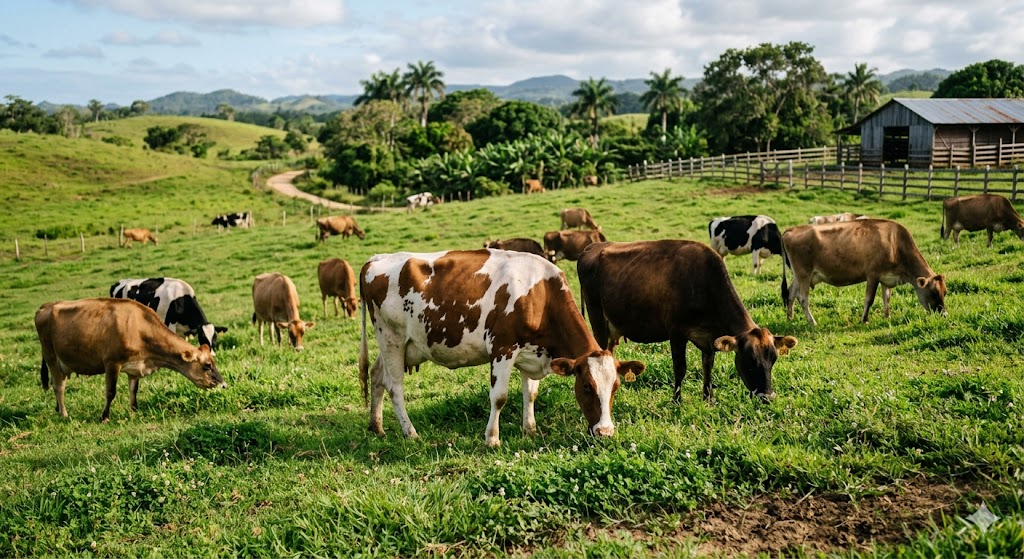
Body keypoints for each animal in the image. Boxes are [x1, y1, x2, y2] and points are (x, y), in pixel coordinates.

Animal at [34, 298, 225, 421]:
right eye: (207, 365)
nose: (224, 384)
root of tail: (46, 306)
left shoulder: (135, 367)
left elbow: (134, 391)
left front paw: (134, 411)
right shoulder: (112, 363)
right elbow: (110, 392)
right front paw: (105, 417)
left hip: (63, 363)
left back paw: (58, 409)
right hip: (51, 357)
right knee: (58, 386)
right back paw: (64, 414)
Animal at [358, 249, 645, 447]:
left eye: (616, 387)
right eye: (586, 386)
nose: (605, 432)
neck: (540, 295)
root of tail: (377, 258)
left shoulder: (533, 352)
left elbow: (531, 394)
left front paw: (530, 430)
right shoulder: (502, 348)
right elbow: (499, 397)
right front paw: (492, 439)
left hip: (397, 343)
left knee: (376, 375)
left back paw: (376, 427)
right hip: (391, 338)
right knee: (394, 386)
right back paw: (410, 432)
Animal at [578, 240, 797, 402]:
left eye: (773, 359)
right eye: (749, 361)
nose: (768, 397)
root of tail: (593, 247)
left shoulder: (709, 338)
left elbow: (707, 366)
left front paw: (708, 398)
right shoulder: (676, 333)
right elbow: (680, 368)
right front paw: (676, 401)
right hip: (596, 316)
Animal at [781, 219, 947, 326]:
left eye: (945, 292)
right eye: (933, 293)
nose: (944, 314)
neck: (895, 244)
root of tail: (792, 230)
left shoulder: (886, 278)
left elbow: (887, 298)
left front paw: (887, 316)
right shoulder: (873, 274)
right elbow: (869, 299)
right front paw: (864, 320)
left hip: (799, 275)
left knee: (791, 293)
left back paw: (790, 318)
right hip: (804, 272)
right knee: (803, 298)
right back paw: (812, 322)